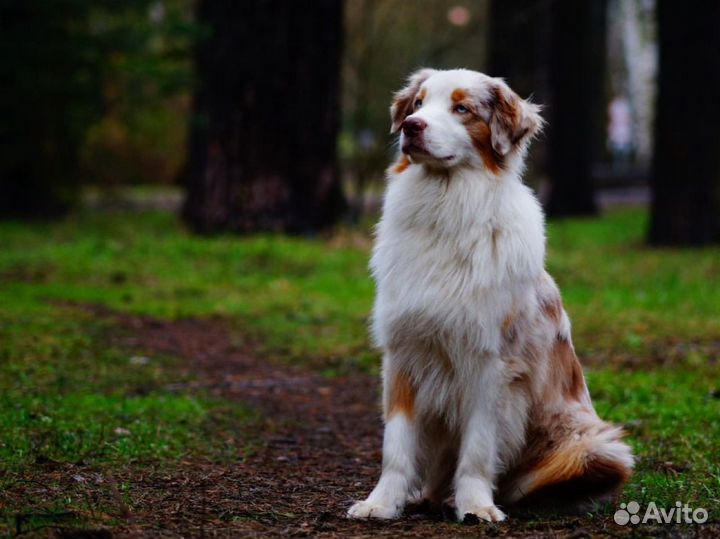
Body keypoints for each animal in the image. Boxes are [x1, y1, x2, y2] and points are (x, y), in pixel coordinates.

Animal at [346, 68, 632, 524]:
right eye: (418, 104)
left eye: (462, 109)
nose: (411, 127)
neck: (446, 212)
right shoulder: (404, 352)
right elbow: (397, 443)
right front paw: (382, 502)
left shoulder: (492, 362)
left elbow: (479, 445)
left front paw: (477, 505)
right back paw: (427, 495)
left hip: (596, 447)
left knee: (536, 481)